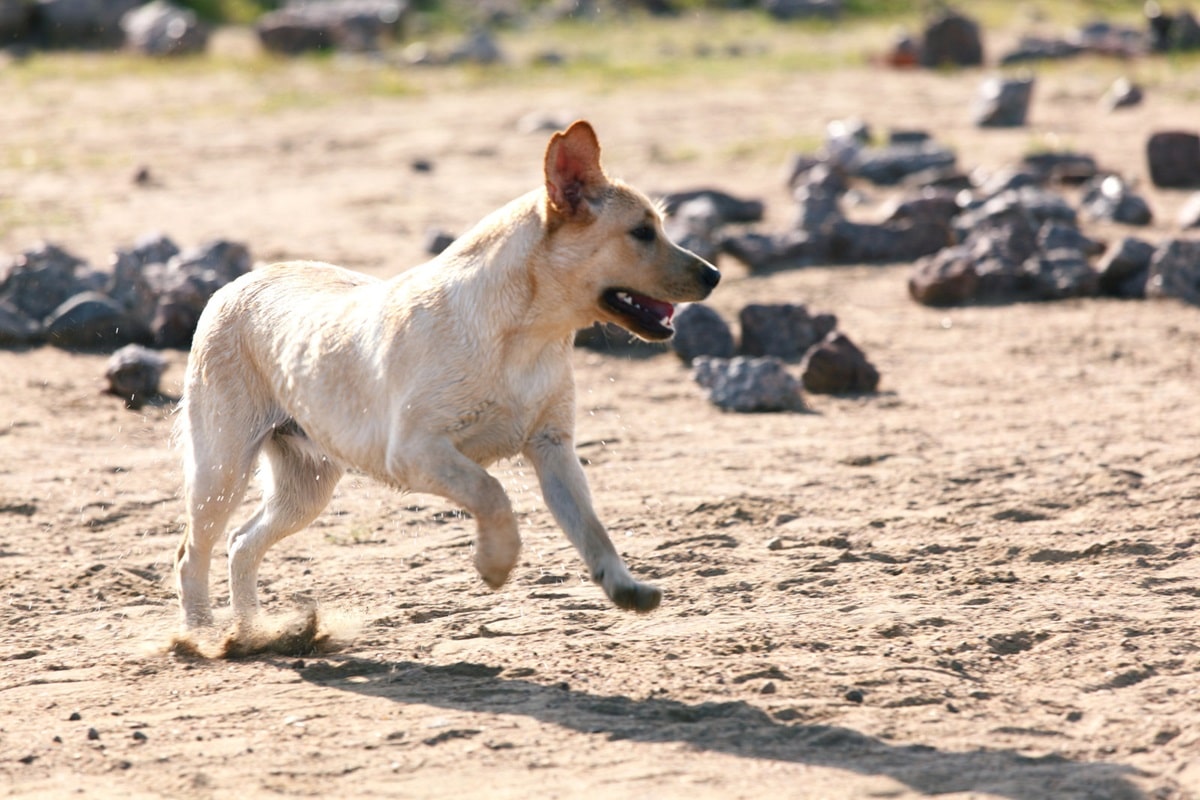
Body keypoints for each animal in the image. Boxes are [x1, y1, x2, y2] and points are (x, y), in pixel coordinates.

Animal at [172, 120, 720, 633]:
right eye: (642, 233)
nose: (714, 275)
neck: (525, 338)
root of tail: (234, 283)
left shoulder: (554, 448)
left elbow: (590, 526)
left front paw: (624, 585)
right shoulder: (417, 452)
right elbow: (492, 493)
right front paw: (496, 563)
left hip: (305, 485)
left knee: (242, 543)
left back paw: (252, 633)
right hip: (222, 468)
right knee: (191, 552)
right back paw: (202, 637)